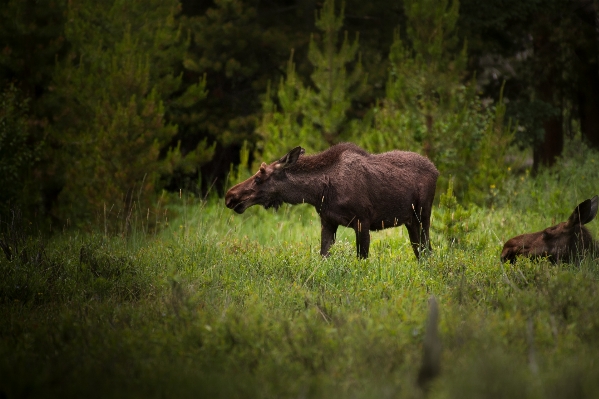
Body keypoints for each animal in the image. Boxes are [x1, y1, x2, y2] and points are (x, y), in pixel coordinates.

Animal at [225, 144, 440, 260]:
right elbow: (323, 255)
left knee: (427, 250)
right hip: (411, 221)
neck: (319, 191)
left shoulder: (363, 221)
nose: (230, 196)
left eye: (259, 177)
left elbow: (362, 258)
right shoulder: (328, 221)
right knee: (421, 252)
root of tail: (436, 170)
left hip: (423, 215)